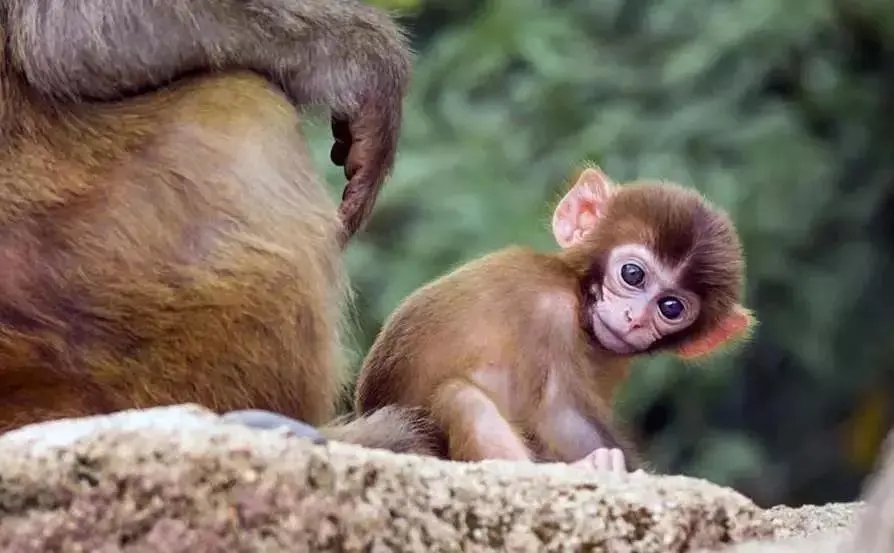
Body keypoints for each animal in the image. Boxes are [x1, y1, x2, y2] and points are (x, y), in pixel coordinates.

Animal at [356, 166, 756, 472]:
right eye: (632, 274)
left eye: (671, 307)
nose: (635, 319)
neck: (575, 288)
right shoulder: (552, 312)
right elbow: (561, 416)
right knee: (460, 396)